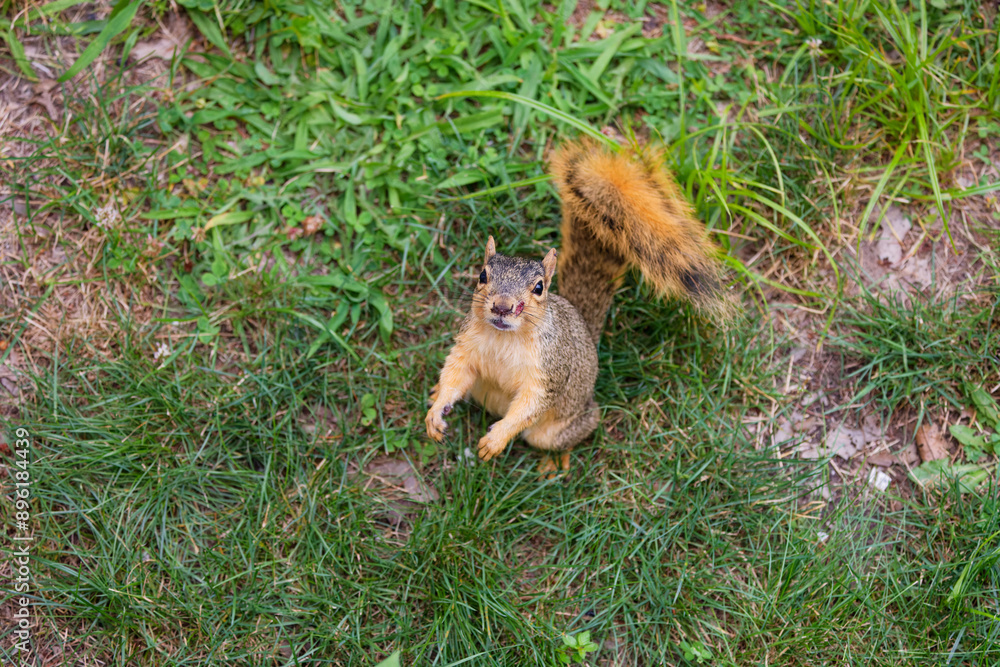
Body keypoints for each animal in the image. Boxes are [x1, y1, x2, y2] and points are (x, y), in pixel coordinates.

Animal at [422, 140, 728, 474]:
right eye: (482, 275)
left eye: (539, 288)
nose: (502, 307)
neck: (504, 337)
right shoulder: (467, 348)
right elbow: (455, 374)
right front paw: (435, 413)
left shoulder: (549, 370)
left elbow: (530, 404)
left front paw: (496, 439)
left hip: (560, 427)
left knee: (565, 435)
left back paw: (555, 462)